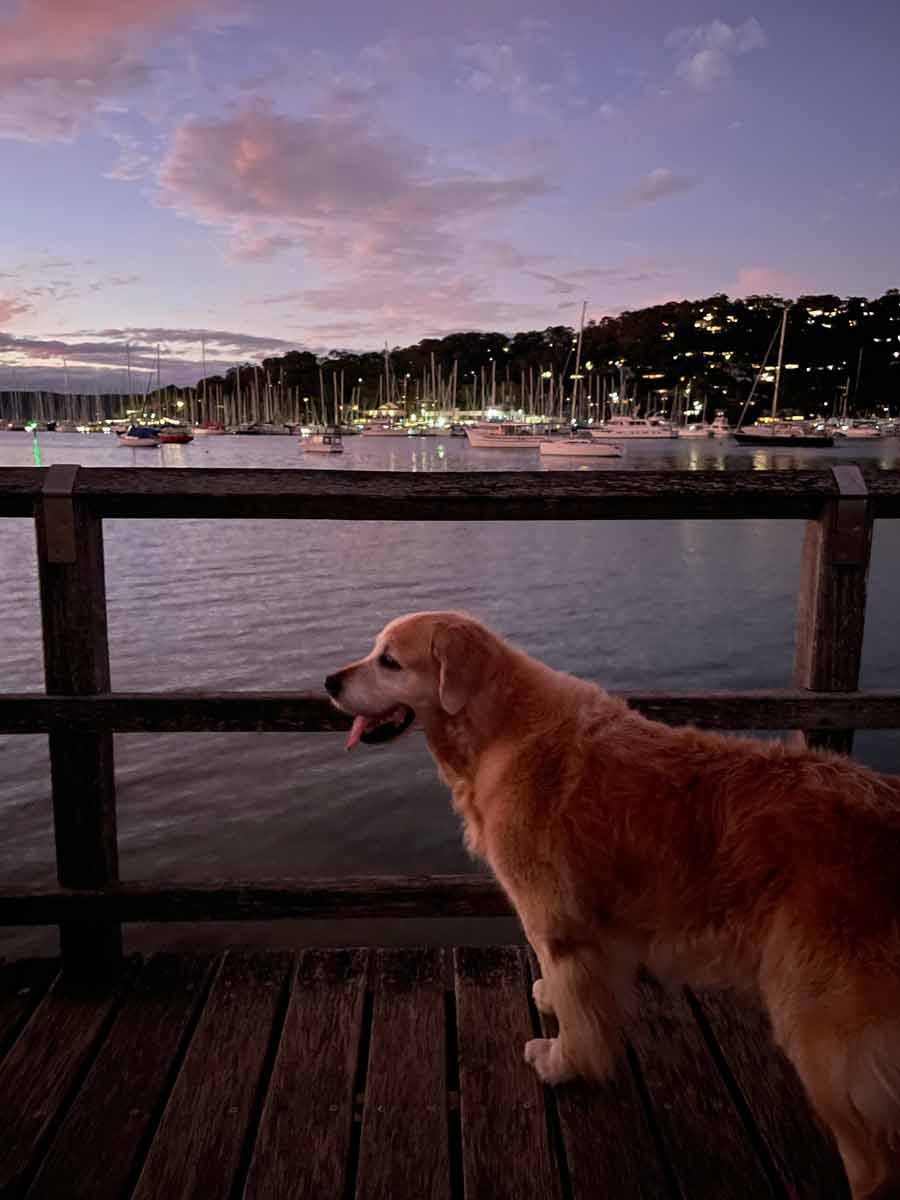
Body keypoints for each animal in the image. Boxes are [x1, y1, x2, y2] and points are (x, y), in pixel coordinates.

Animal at [326, 614, 900, 1195]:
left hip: (825, 1037)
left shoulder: (554, 922)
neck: (498, 732)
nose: (329, 682)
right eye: (375, 652)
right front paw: (549, 998)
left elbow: (580, 1018)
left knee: (874, 1164)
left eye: (389, 661)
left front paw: (561, 1063)